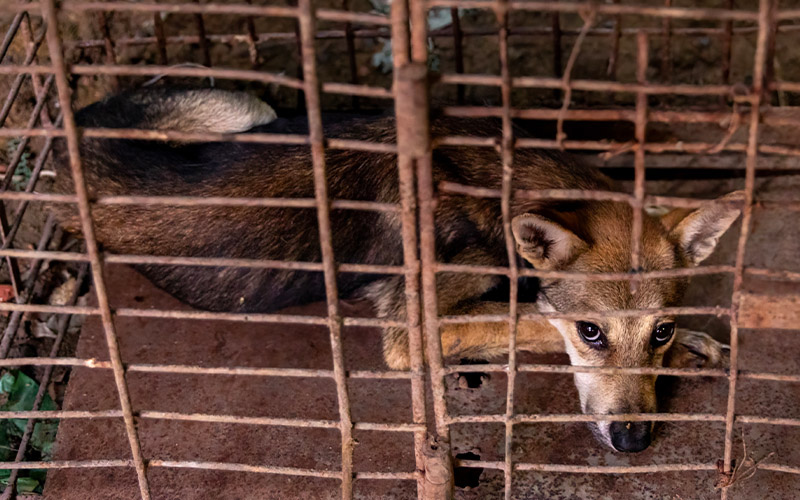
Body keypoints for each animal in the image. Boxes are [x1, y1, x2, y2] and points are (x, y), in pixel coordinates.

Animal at [53, 87, 740, 454]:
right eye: (591, 333)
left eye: (659, 331)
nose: (633, 441)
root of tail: (71, 132)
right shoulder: (413, 329)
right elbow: (531, 317)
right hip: (238, 107)